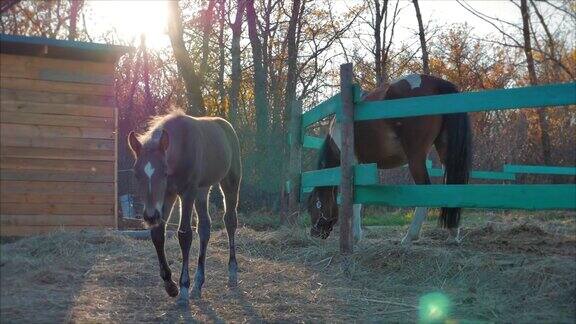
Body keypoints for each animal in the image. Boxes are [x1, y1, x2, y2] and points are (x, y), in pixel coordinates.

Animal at [127, 110, 241, 302]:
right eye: (136, 174)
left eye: (164, 172)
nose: (150, 216)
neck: (180, 148)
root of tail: (227, 126)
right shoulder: (168, 194)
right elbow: (158, 234)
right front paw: (170, 285)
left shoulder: (187, 192)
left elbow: (185, 235)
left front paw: (184, 287)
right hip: (202, 189)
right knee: (204, 227)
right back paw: (198, 284)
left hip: (229, 181)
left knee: (230, 221)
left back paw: (232, 272)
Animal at [308, 73, 470, 246]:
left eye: (313, 206)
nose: (314, 234)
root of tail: (435, 83)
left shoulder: (353, 164)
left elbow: (355, 201)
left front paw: (354, 236)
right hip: (446, 153)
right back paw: (453, 233)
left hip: (416, 158)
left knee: (425, 188)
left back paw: (409, 236)